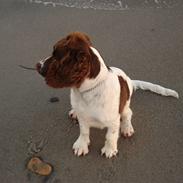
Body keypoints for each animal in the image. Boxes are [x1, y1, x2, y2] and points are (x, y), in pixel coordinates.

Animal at [36, 31, 179, 157]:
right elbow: (83, 131)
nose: (37, 65)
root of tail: (129, 80)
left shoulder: (113, 121)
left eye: (56, 55)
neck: (85, 93)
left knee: (128, 113)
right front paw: (81, 145)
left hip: (125, 105)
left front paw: (110, 150)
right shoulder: (83, 117)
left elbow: (111, 136)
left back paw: (127, 127)